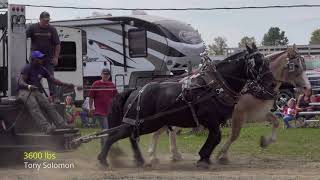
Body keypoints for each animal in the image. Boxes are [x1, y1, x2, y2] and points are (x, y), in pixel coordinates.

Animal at [99, 44, 266, 168]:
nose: (267, 81)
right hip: (145, 123)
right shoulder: (210, 119)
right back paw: (103, 160)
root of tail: (135, 91)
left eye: (263, 61)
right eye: (257, 62)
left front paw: (204, 157)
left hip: (146, 123)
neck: (215, 85)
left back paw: (140, 160)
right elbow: (216, 137)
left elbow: (215, 138)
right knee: (116, 136)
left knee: (131, 137)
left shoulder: (214, 122)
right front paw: (203, 158)